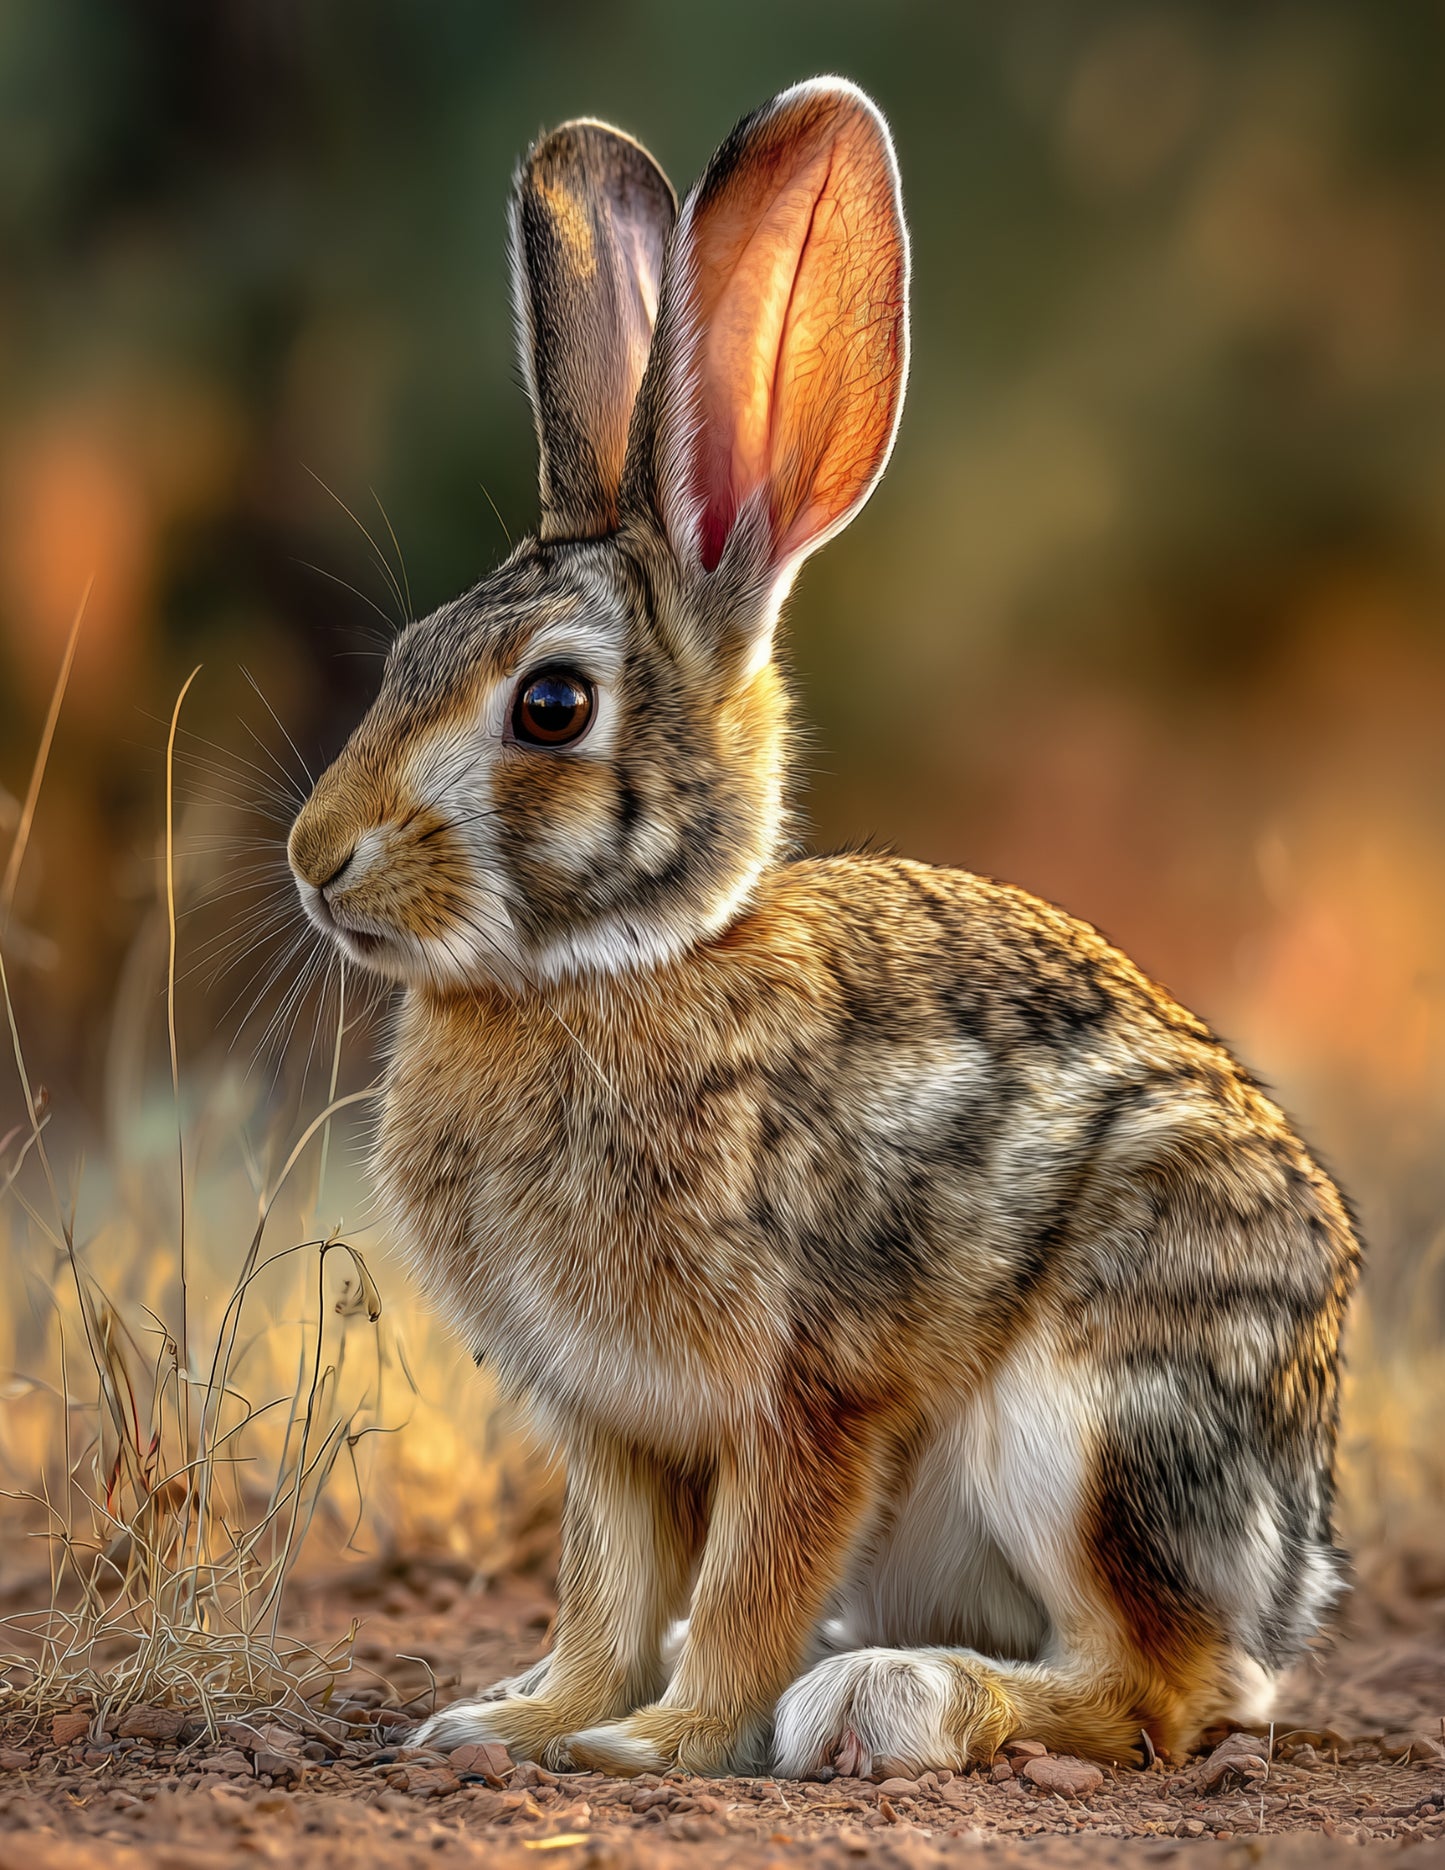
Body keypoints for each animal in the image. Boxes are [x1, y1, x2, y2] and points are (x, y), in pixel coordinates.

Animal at [287, 79, 1359, 1779]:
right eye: (403, 659)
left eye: (551, 706)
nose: (317, 862)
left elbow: (745, 1583)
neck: (614, 968)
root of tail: (1293, 1559)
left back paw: (889, 1696)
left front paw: (655, 1745)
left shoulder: (811, 1392)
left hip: (1090, 1416)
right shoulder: (608, 1426)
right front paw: (514, 1721)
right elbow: (603, 1593)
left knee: (1160, 1688)